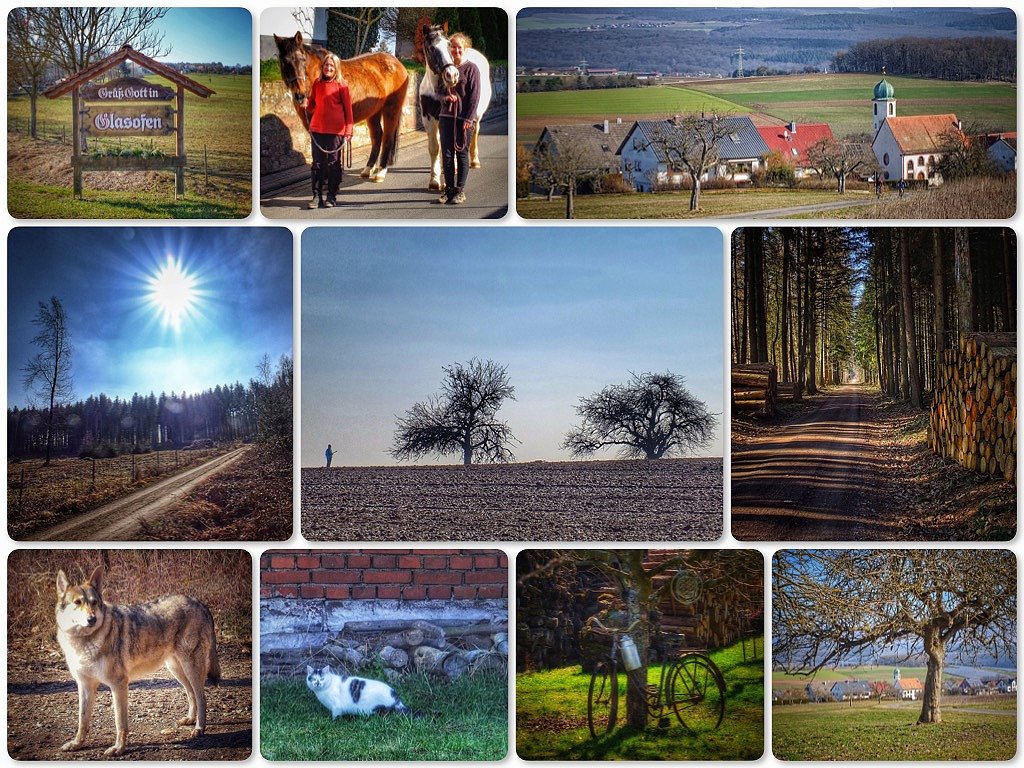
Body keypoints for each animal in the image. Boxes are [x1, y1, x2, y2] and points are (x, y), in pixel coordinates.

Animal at [280, 32, 411, 182]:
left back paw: (381, 172)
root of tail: (398, 64)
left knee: (387, 138)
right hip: (373, 113)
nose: (300, 95)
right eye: (284, 62)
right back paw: (368, 169)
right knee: (377, 137)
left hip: (391, 110)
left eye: (303, 59)